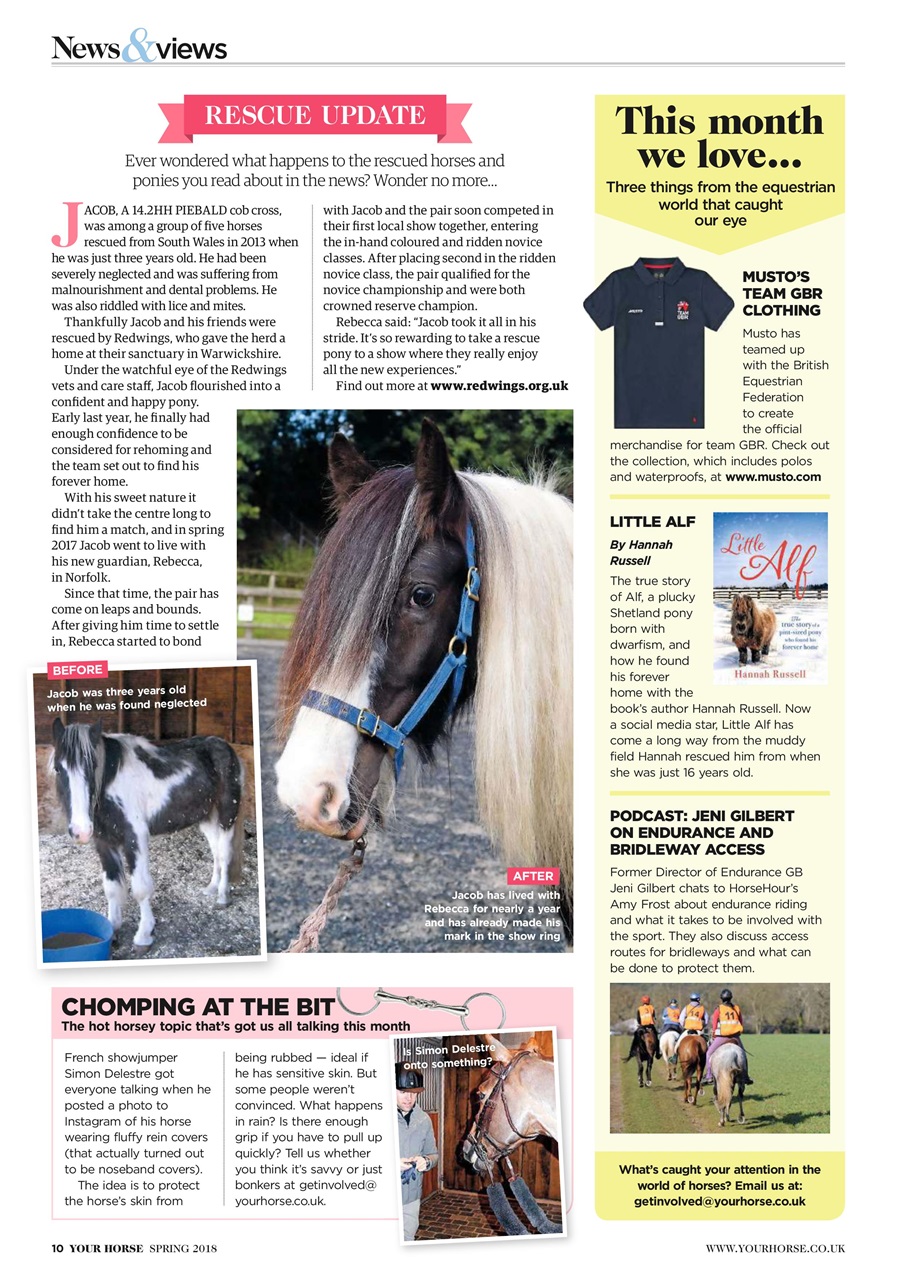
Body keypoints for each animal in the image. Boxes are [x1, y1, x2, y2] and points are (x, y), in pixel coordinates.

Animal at [50, 718, 244, 953]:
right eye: (58, 768)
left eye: (93, 765)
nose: (81, 830)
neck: (112, 780)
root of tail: (225, 746)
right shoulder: (104, 842)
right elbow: (112, 888)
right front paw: (112, 931)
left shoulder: (135, 836)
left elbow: (141, 889)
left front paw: (143, 936)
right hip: (207, 818)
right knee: (216, 852)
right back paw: (211, 889)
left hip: (227, 815)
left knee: (224, 854)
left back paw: (223, 897)